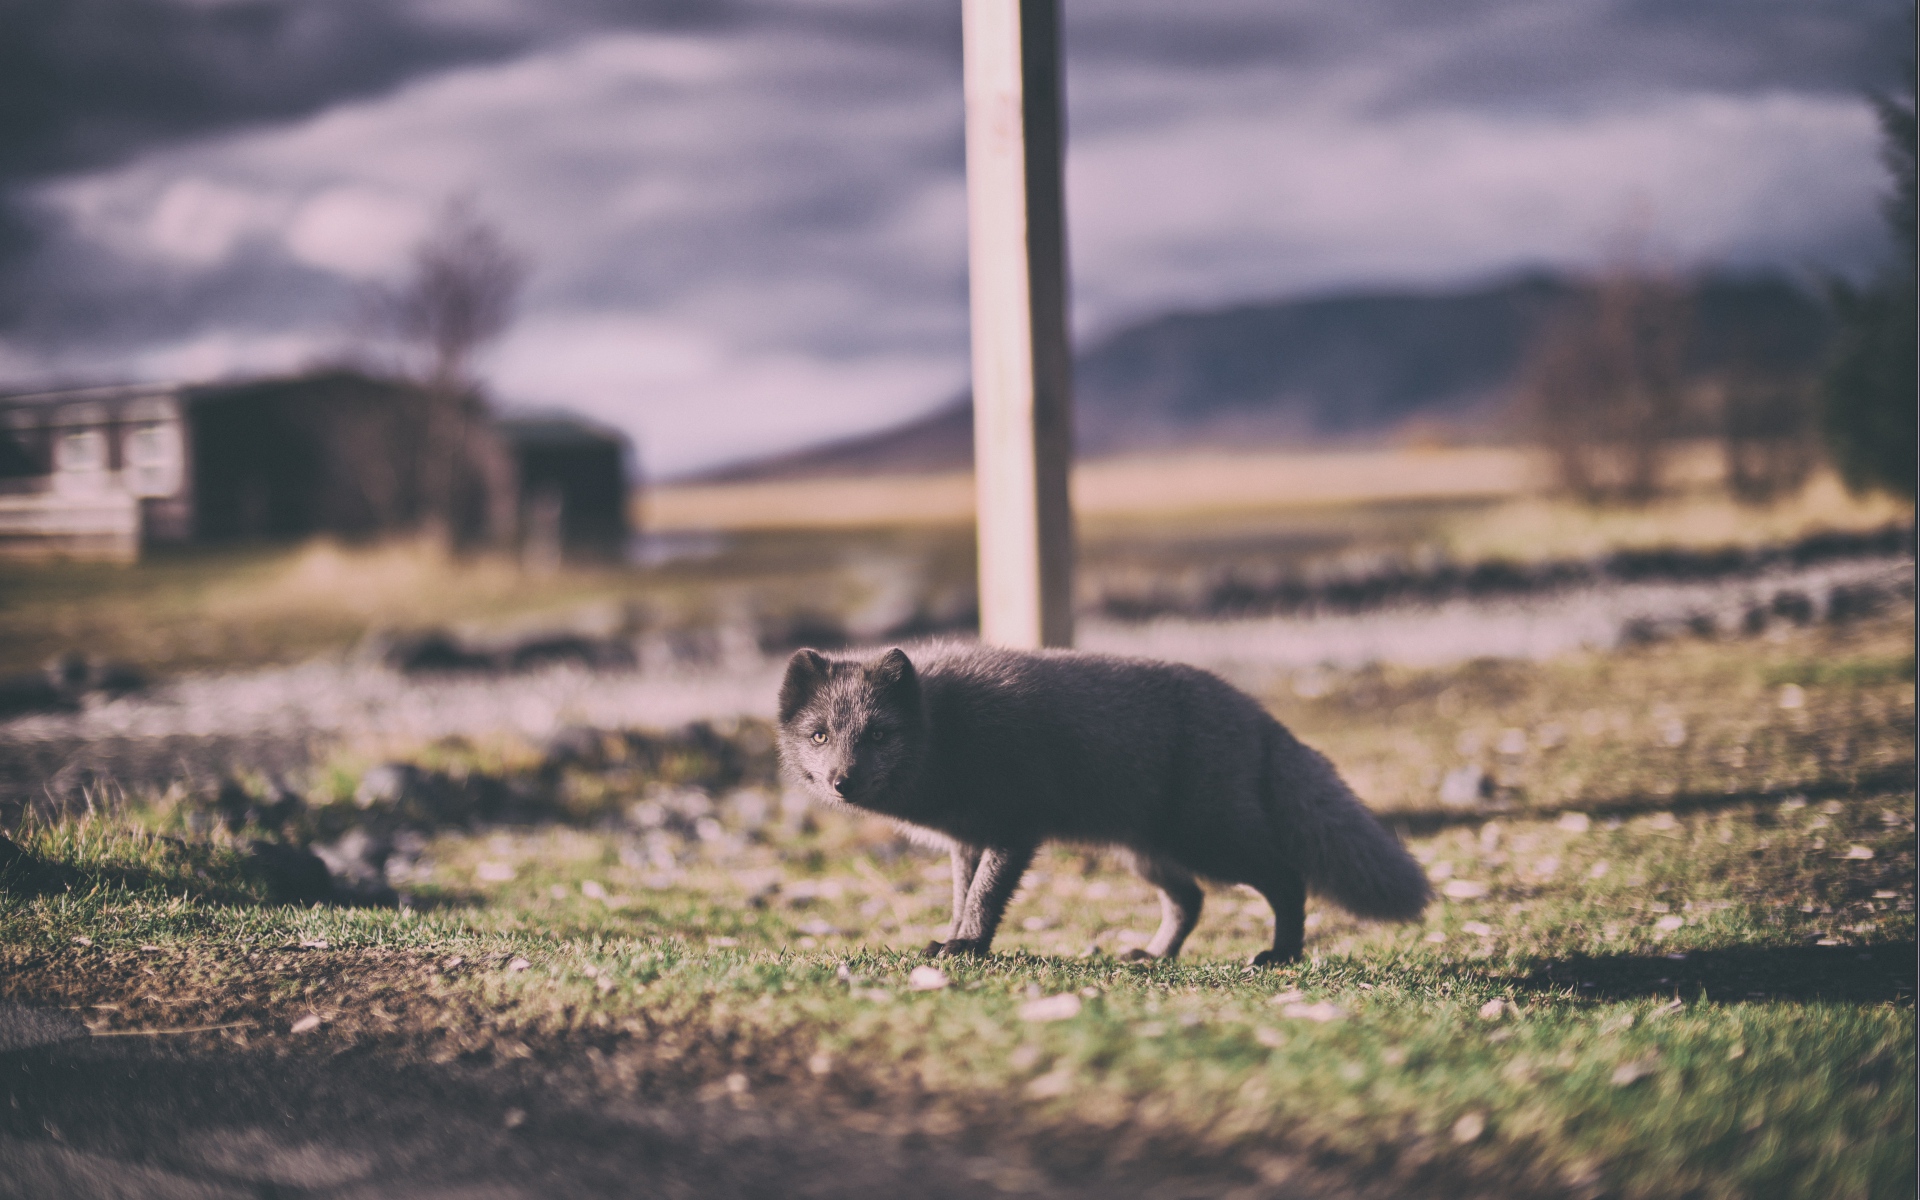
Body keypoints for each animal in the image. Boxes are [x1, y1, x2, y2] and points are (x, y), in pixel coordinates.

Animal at [776, 643, 1430, 965]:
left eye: (879, 734)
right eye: (820, 735)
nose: (842, 782)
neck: (948, 729)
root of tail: (1256, 713)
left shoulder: (1014, 829)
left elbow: (985, 897)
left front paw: (968, 947)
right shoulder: (966, 839)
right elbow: (963, 897)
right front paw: (952, 938)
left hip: (1210, 840)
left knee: (1286, 878)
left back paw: (1282, 954)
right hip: (1147, 852)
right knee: (1190, 901)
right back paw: (1155, 957)